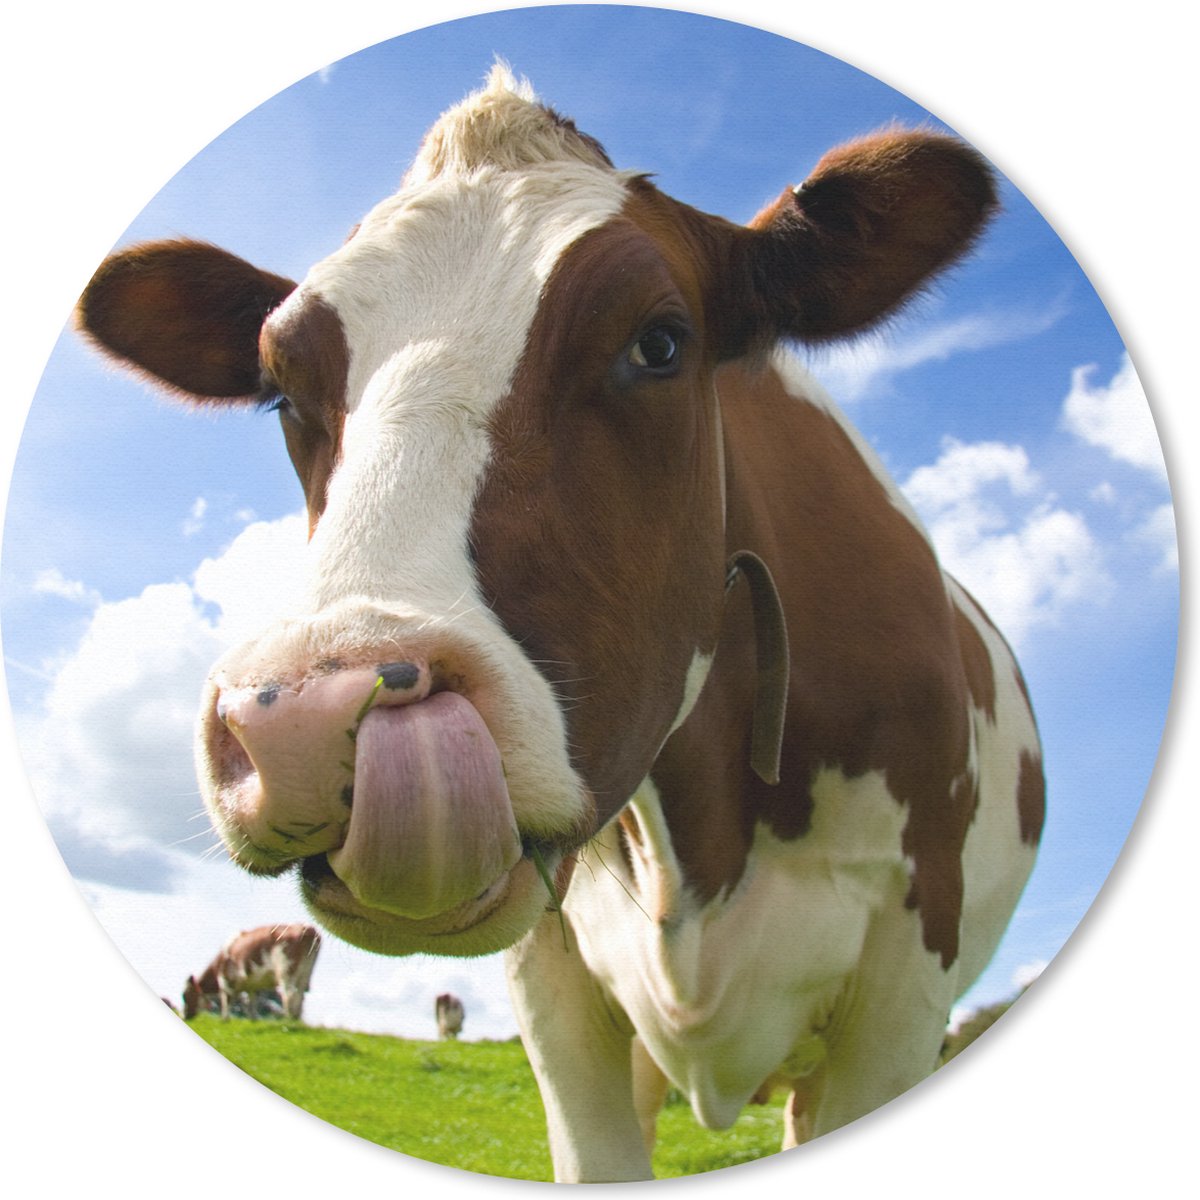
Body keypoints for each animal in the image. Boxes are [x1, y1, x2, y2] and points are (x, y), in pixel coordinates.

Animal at [182, 924, 320, 1022]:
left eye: (184, 996)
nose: (184, 1016)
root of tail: (308, 928)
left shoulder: (225, 979)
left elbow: (226, 999)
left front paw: (225, 1019)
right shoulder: (252, 983)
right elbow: (252, 1002)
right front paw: (253, 1019)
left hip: (286, 971)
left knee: (289, 994)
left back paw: (288, 1020)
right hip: (305, 973)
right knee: (301, 994)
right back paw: (296, 1019)